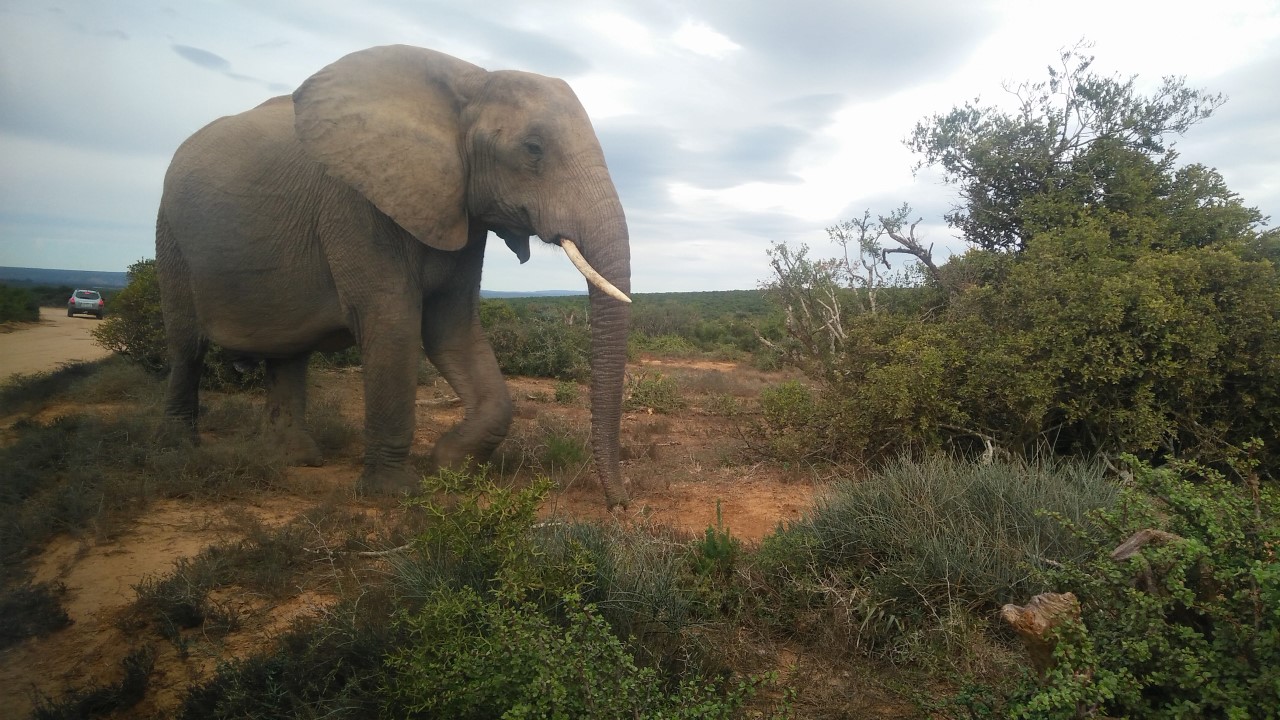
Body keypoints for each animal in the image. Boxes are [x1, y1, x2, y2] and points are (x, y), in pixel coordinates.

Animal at [156, 45, 632, 508]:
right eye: (533, 149)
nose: (618, 505)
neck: (468, 84)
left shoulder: (458, 207)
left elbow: (452, 329)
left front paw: (449, 466)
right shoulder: (358, 202)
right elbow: (393, 325)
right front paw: (394, 492)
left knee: (287, 353)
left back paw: (294, 459)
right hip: (171, 235)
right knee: (186, 346)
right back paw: (178, 451)